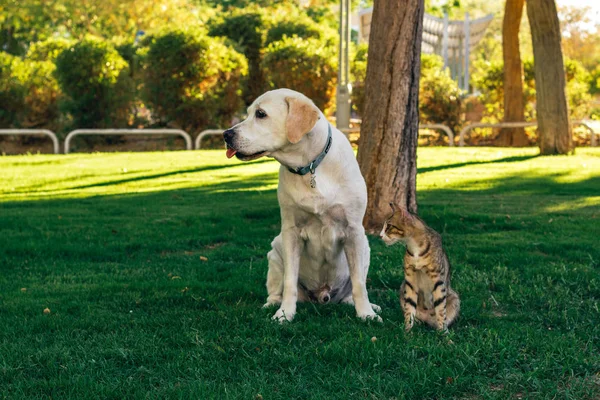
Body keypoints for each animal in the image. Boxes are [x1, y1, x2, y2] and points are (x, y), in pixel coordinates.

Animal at [220, 89, 380, 324]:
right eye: (248, 113)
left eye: (260, 114)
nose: (226, 134)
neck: (310, 166)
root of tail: (322, 296)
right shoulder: (291, 231)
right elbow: (289, 281)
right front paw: (285, 313)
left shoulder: (354, 230)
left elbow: (360, 283)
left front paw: (366, 313)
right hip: (275, 252)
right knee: (276, 289)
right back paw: (272, 304)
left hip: (365, 248)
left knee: (352, 288)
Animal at [380, 203, 460, 332]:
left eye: (389, 226)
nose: (380, 235)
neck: (415, 248)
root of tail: (427, 320)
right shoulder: (410, 280)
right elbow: (409, 308)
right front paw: (407, 331)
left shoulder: (437, 280)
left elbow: (440, 309)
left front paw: (443, 333)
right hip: (402, 288)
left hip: (454, 297)